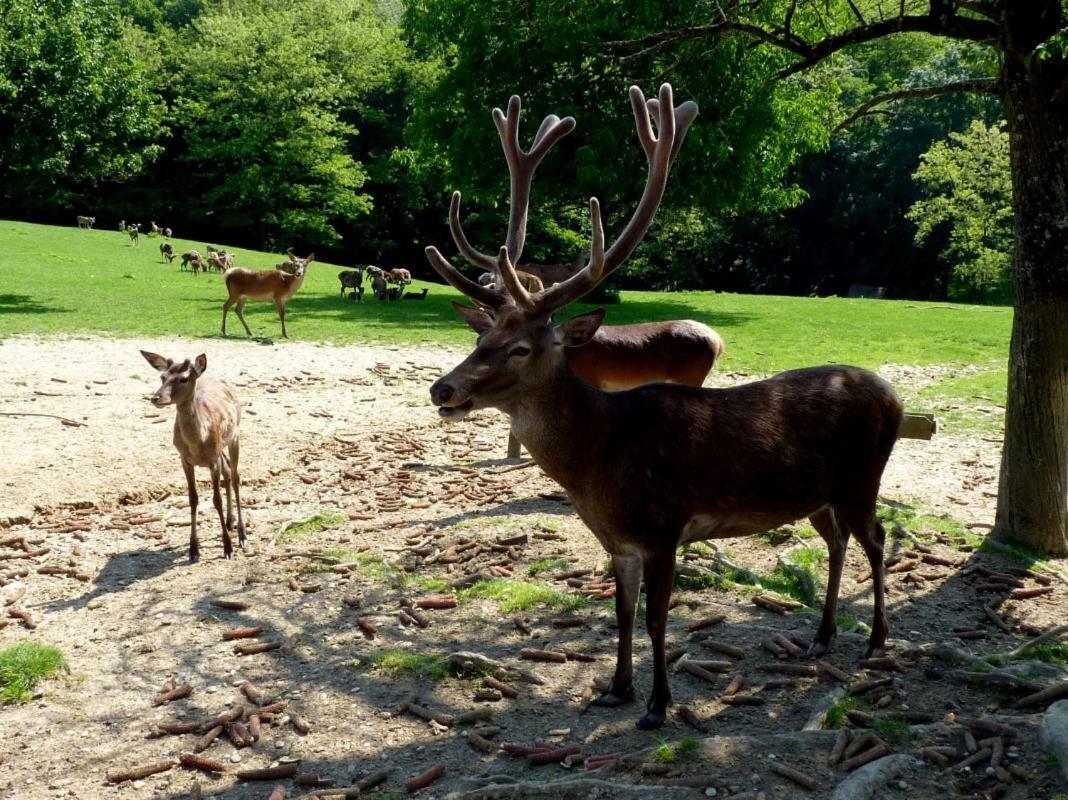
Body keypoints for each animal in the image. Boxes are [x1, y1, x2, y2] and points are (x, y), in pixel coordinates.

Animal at [137, 350, 244, 559]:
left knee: (235, 476)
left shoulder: (212, 461)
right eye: (162, 377)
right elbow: (192, 499)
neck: (197, 443)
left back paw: (242, 535)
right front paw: (193, 549)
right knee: (228, 470)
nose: (155, 398)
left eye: (184, 378)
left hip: (235, 435)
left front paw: (227, 548)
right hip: (221, 448)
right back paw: (230, 522)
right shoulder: (184, 459)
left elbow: (216, 500)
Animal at [425, 85, 901, 730]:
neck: (599, 464)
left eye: (521, 346)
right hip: (820, 494)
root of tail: (895, 396)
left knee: (877, 537)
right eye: (480, 338)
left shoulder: (665, 525)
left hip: (861, 477)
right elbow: (621, 614)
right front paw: (616, 689)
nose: (443, 390)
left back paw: (876, 640)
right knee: (837, 541)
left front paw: (657, 705)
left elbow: (656, 617)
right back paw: (822, 636)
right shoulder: (619, 541)